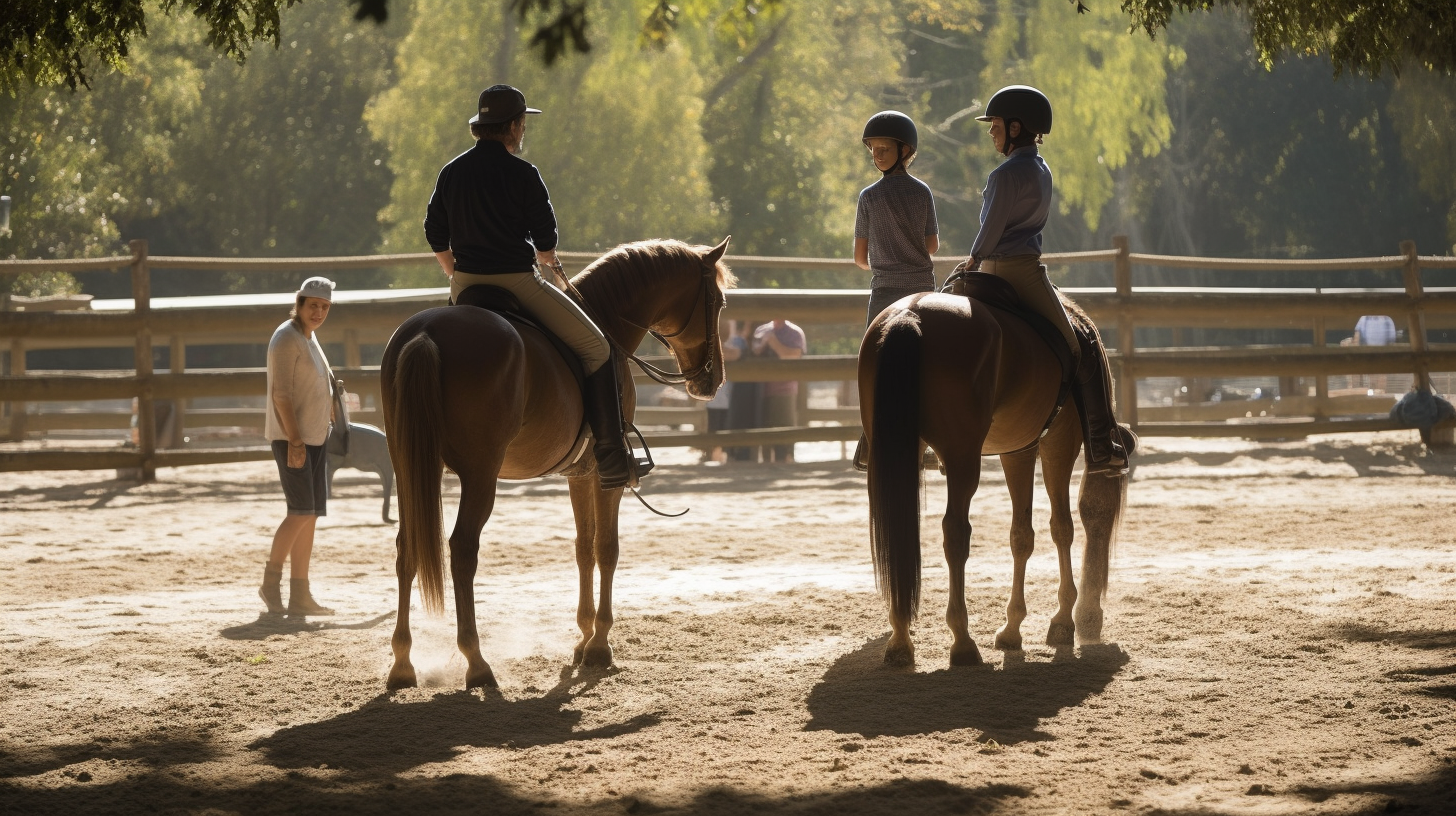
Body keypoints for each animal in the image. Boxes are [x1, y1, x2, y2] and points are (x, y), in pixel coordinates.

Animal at [381, 237, 733, 687]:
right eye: (718, 301)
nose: (712, 380)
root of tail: (427, 334)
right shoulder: (606, 474)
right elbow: (607, 548)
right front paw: (599, 645)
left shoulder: (580, 474)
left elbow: (583, 547)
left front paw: (583, 638)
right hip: (480, 475)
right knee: (462, 550)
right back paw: (476, 662)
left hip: (409, 467)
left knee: (407, 548)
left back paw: (402, 664)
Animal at [856, 289, 1129, 667]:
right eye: (1107, 513)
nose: (1094, 621)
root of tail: (911, 315)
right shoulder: (1060, 442)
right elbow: (1062, 527)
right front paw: (1063, 621)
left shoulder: (1018, 450)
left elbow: (1021, 535)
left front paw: (1013, 629)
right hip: (962, 456)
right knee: (956, 533)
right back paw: (962, 641)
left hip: (897, 453)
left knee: (898, 526)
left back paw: (900, 640)